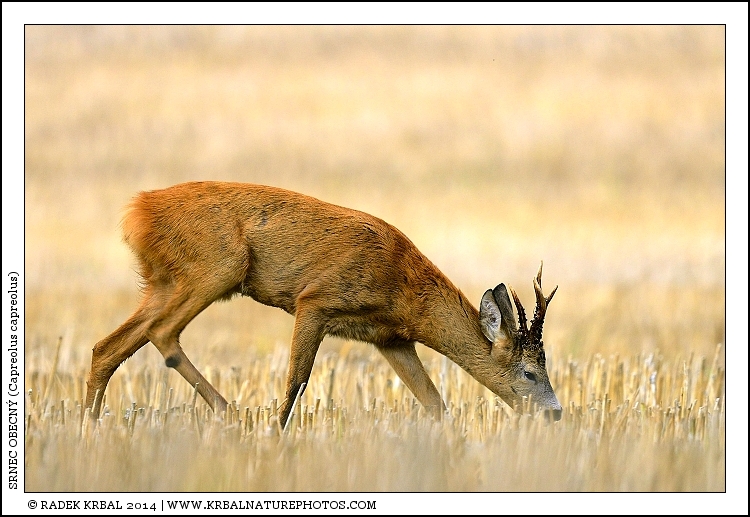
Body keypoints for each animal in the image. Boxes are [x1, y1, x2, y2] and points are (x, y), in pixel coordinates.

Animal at [85, 181, 563, 427]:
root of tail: (137, 212)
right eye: (529, 371)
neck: (405, 291)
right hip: (217, 266)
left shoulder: (390, 340)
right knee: (160, 332)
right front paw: (275, 436)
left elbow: (435, 404)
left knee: (107, 346)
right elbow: (297, 381)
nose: (557, 413)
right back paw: (232, 414)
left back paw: (89, 426)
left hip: (164, 281)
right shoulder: (315, 299)